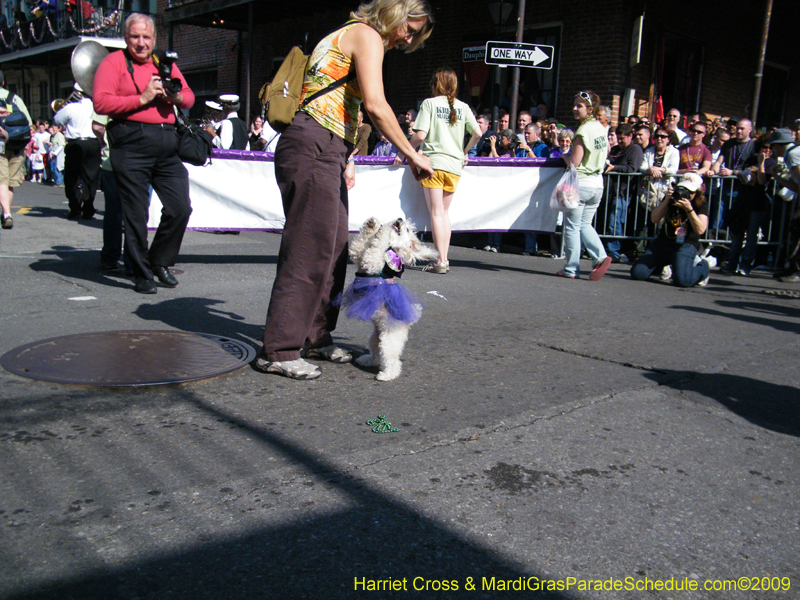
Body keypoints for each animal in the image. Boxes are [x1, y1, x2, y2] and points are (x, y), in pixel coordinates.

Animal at [338, 218, 438, 382]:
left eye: (408, 230)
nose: (399, 219)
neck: (393, 249)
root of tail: (407, 324)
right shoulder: (359, 256)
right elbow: (361, 244)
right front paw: (371, 225)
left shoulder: (373, 263)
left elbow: (376, 247)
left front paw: (383, 230)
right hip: (375, 339)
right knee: (376, 355)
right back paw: (366, 360)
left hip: (389, 341)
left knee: (392, 361)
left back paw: (386, 375)